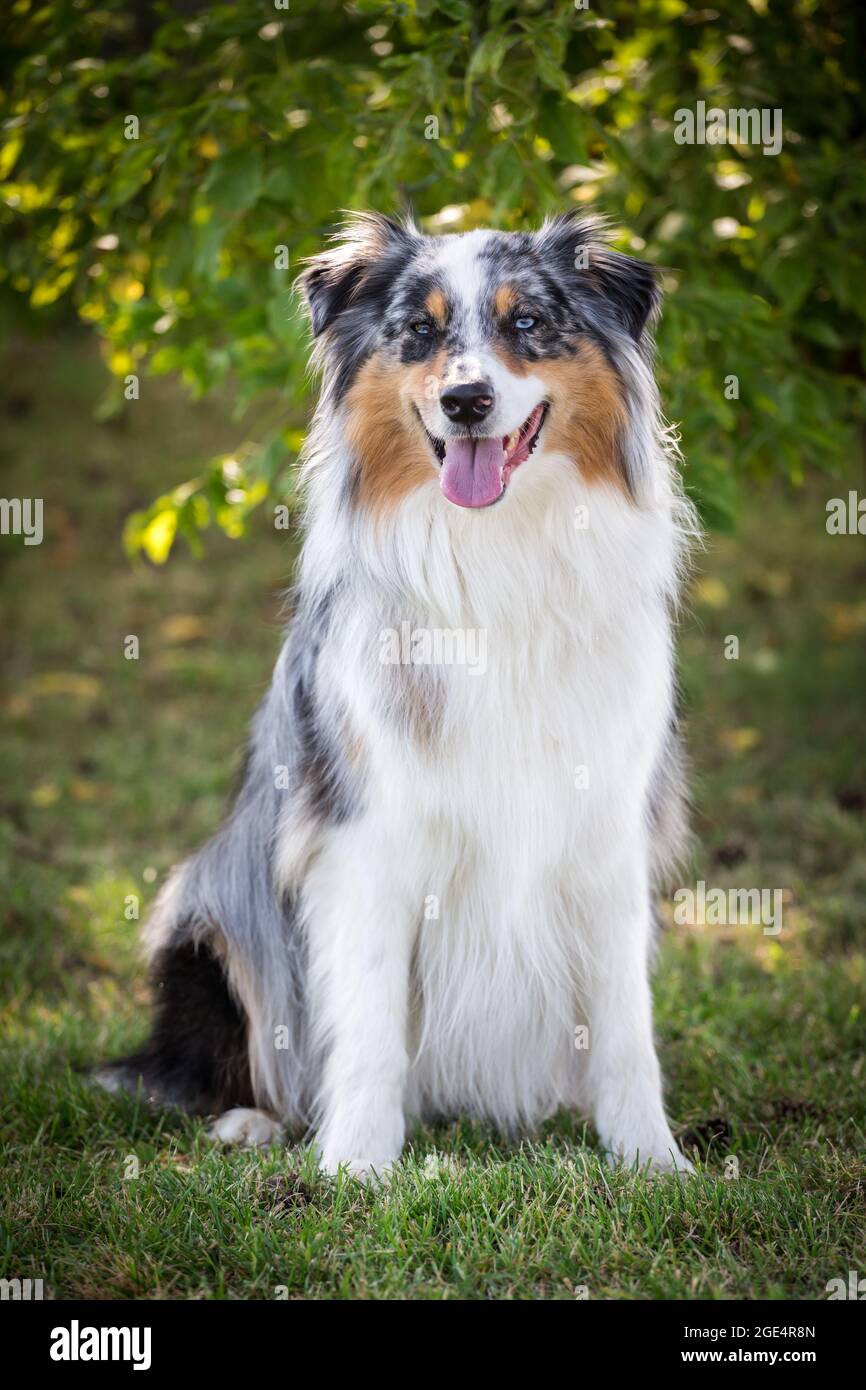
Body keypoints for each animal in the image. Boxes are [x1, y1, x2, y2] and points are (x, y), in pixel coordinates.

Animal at [97, 211, 700, 1178]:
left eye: (528, 323)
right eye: (418, 331)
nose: (466, 402)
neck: (499, 552)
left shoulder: (607, 833)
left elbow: (623, 1024)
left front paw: (651, 1159)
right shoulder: (367, 836)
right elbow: (371, 1016)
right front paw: (357, 1165)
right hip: (209, 911)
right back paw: (252, 1122)